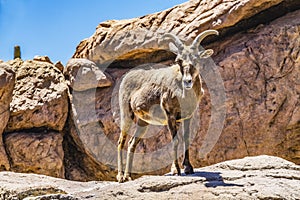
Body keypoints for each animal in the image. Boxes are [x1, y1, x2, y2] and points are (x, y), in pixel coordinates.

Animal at [116, 30, 218, 183]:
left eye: (196, 59)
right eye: (178, 60)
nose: (187, 81)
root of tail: (126, 77)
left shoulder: (187, 117)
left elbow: (186, 139)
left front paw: (188, 168)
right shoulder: (170, 115)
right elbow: (175, 141)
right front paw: (176, 170)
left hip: (143, 122)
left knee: (131, 144)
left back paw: (128, 176)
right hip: (127, 115)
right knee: (121, 142)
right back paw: (121, 177)